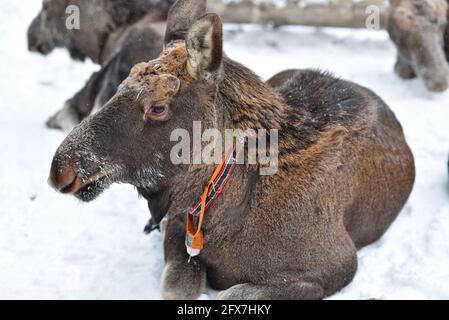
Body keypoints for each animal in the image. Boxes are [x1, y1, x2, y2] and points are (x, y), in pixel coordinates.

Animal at [48, 0, 412, 300]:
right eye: (122, 83)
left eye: (158, 107)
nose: (60, 169)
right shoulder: (177, 225)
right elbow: (177, 285)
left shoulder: (338, 265)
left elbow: (230, 292)